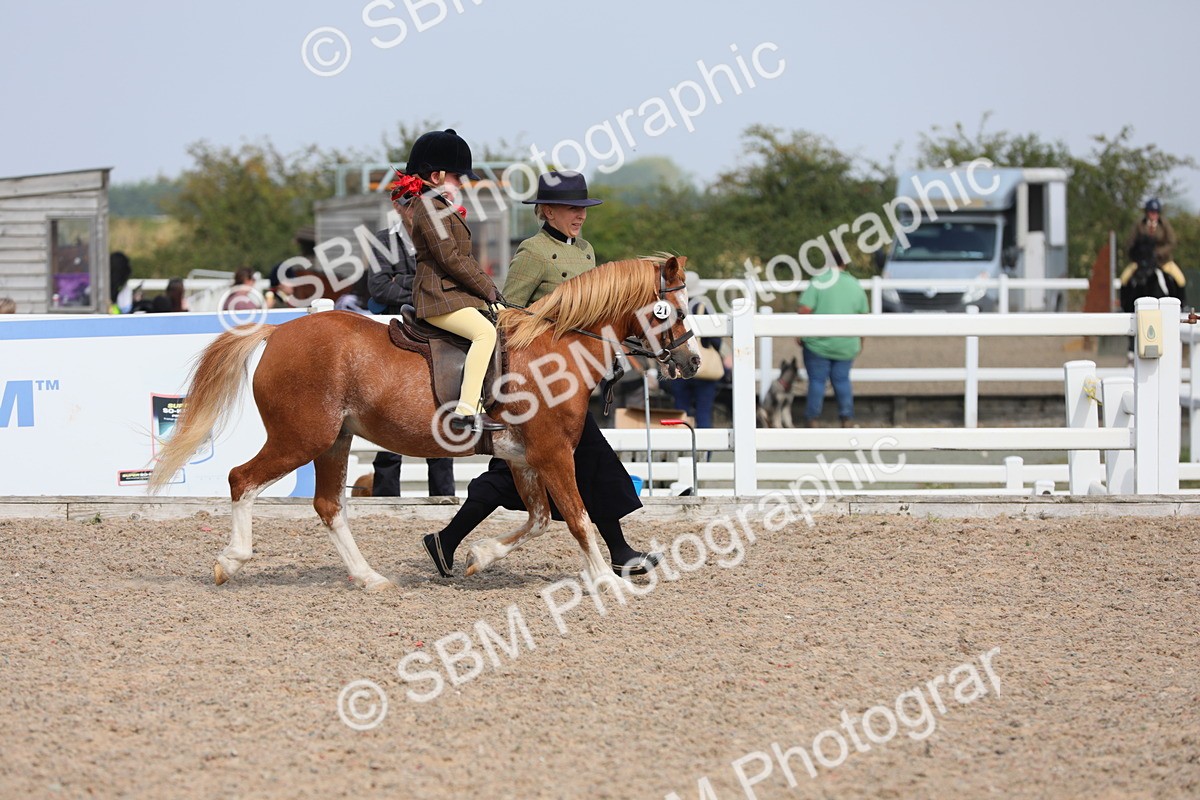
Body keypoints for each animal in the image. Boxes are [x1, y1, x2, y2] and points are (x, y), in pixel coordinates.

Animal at [148, 256, 700, 592]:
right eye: (671, 309)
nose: (692, 362)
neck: (553, 348)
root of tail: (277, 333)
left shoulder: (525, 458)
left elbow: (541, 519)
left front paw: (479, 554)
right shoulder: (552, 454)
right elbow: (580, 518)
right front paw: (606, 580)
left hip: (335, 442)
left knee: (328, 506)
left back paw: (370, 578)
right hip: (301, 439)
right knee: (241, 479)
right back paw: (231, 560)